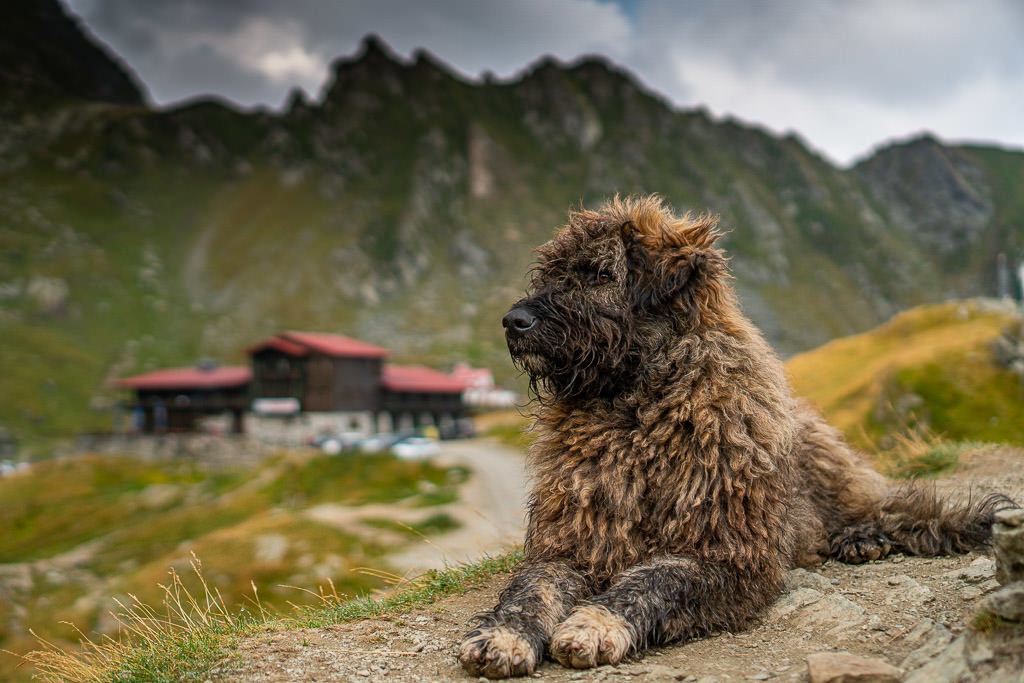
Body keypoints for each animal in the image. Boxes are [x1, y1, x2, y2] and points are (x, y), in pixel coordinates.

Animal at [456, 196, 1007, 679]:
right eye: (550, 275)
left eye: (602, 275)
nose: (513, 322)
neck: (637, 415)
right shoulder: (571, 543)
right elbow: (532, 589)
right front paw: (503, 635)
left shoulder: (730, 554)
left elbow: (653, 580)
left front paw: (595, 623)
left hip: (834, 477)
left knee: (891, 508)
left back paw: (863, 536)